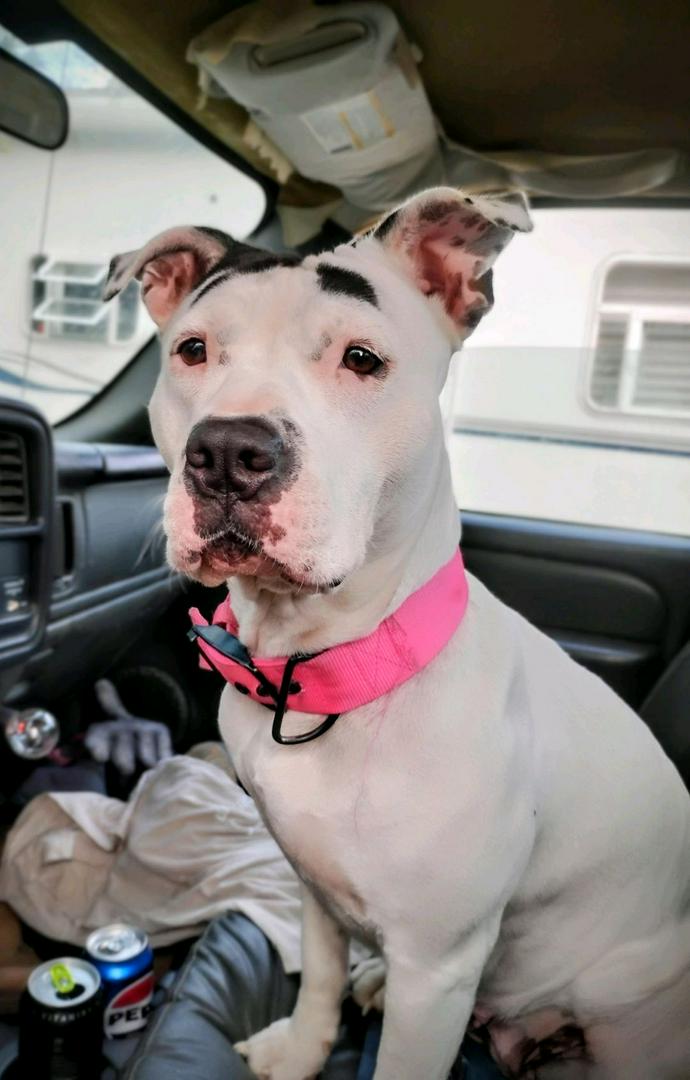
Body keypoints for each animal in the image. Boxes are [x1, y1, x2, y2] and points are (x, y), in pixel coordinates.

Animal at [105, 187, 690, 1079]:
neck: (330, 668)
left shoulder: (437, 967)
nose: (229, 452)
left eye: (362, 360)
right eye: (193, 350)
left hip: (624, 1016)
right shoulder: (311, 881)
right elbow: (318, 973)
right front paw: (304, 1048)